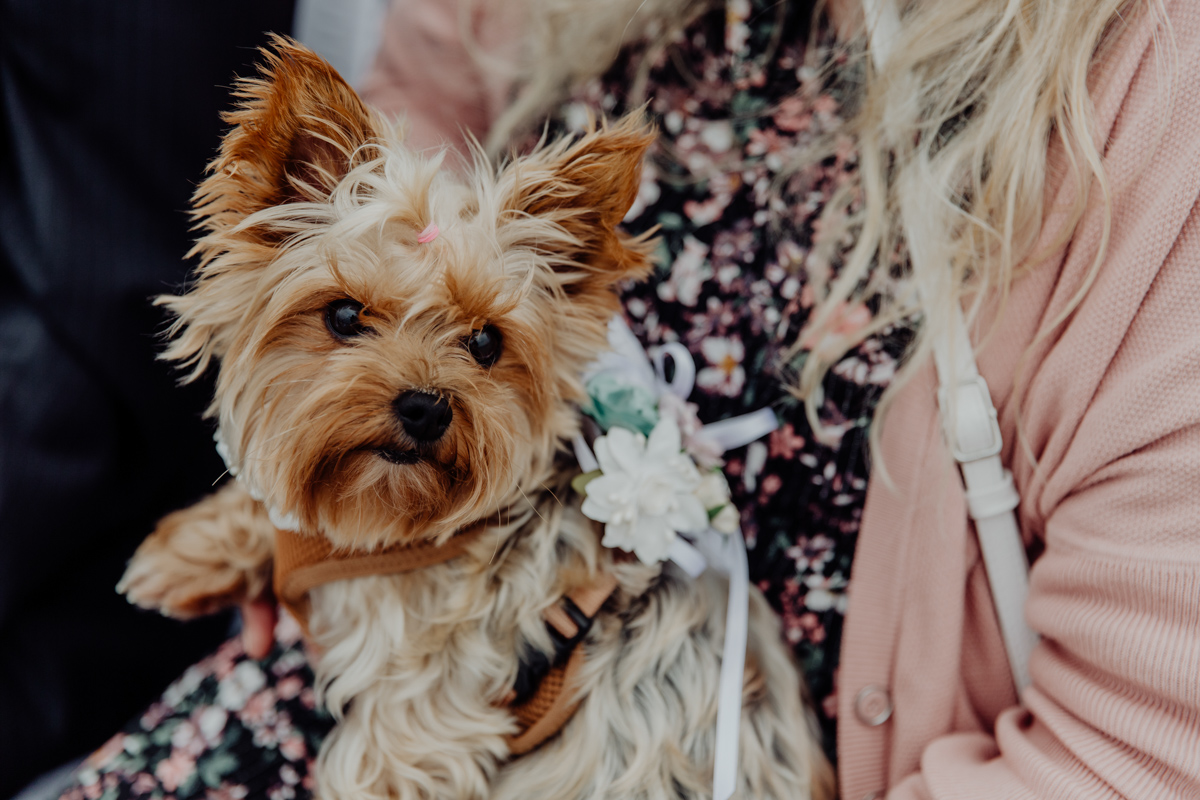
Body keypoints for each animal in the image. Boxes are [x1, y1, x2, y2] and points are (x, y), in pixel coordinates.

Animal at [121, 40, 835, 800]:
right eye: (344, 315)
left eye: (486, 341)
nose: (425, 405)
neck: (393, 528)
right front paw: (188, 550)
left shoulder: (417, 730)